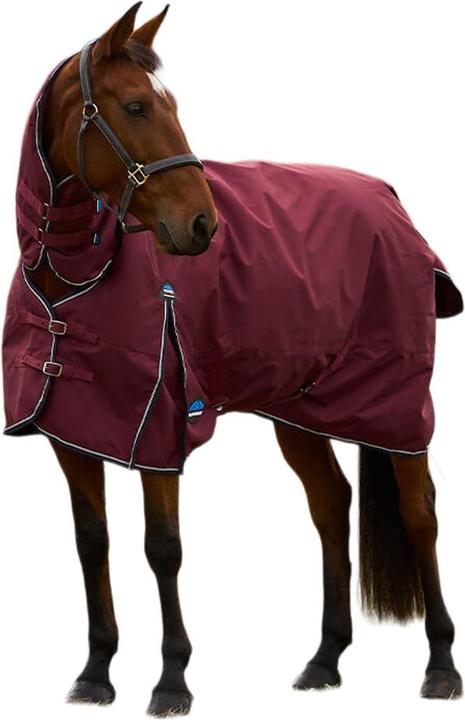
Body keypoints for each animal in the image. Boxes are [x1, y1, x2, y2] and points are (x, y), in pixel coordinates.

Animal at [3, 3, 462, 716]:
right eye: (136, 106)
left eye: (168, 104)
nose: (203, 225)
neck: (78, 273)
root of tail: (390, 200)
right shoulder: (73, 432)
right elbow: (91, 542)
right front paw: (96, 673)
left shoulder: (157, 432)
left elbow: (162, 548)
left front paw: (171, 680)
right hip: (301, 412)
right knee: (331, 505)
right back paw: (324, 660)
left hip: (397, 407)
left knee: (421, 515)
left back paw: (440, 667)